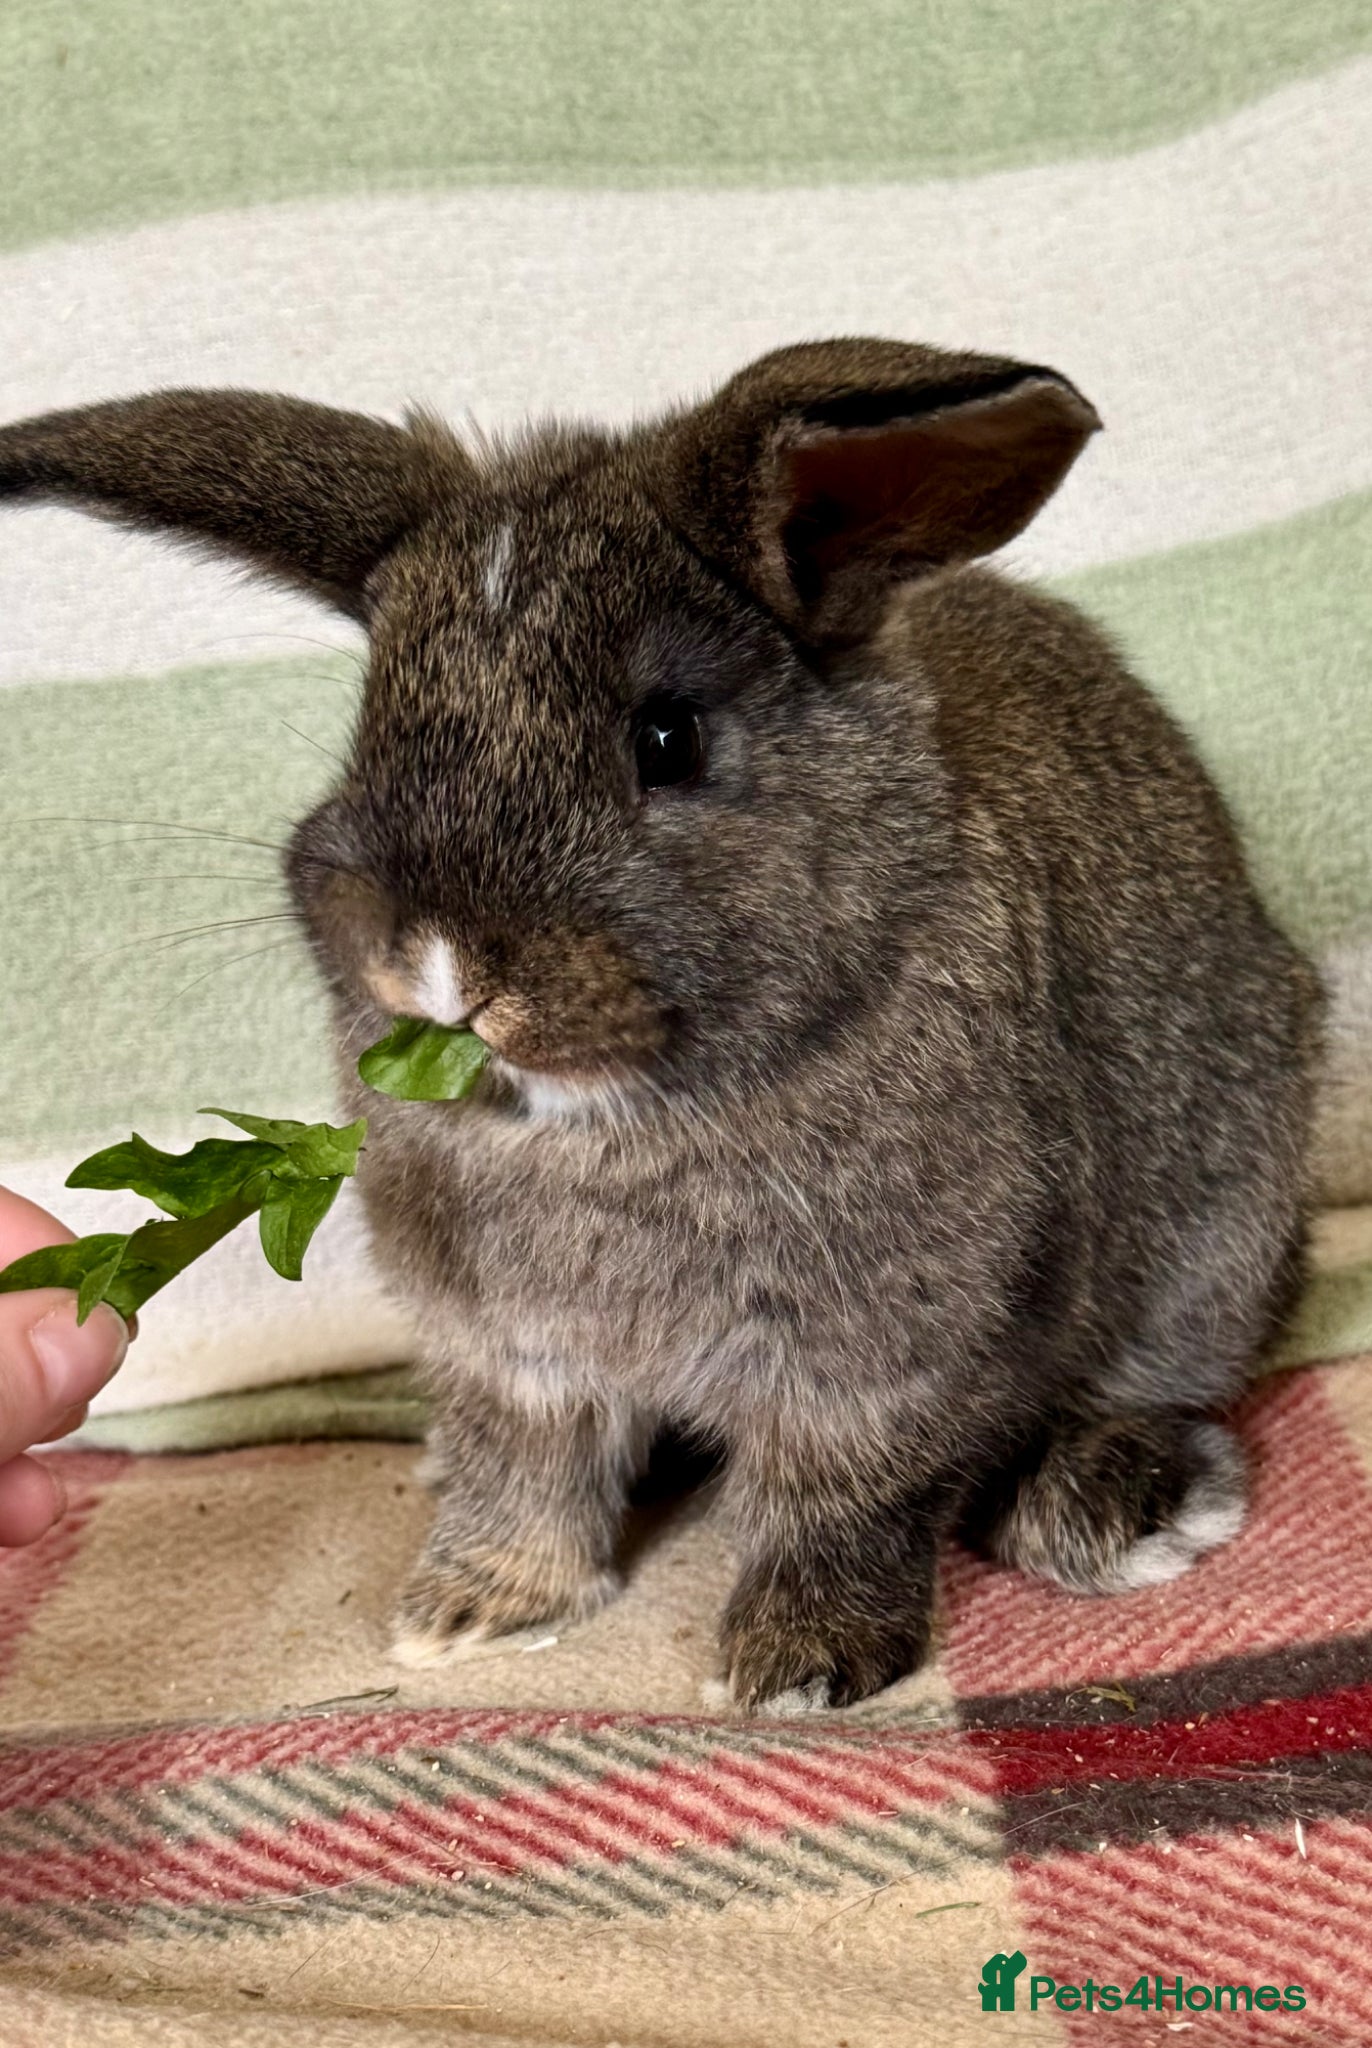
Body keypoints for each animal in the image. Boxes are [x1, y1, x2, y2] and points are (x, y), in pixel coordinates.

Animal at [0, 339, 1324, 1710]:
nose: (436, 963)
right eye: (375, 726)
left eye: (667, 734)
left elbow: (842, 1497)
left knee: (1165, 1372)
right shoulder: (513, 1357)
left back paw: (1113, 1506)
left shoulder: (877, 1357)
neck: (602, 1123)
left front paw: (795, 1663)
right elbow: (524, 1472)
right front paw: (475, 1609)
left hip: (1214, 1232)